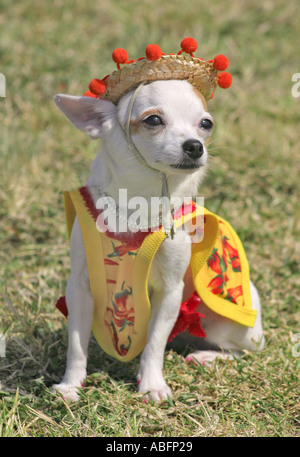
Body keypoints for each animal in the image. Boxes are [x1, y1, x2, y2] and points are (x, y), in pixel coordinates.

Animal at [52, 58, 264, 402]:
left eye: (206, 124)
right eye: (153, 120)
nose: (195, 146)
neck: (139, 206)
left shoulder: (170, 291)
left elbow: (153, 344)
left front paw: (152, 384)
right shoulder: (80, 288)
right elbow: (76, 344)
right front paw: (71, 385)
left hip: (227, 322)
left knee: (240, 351)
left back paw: (207, 357)